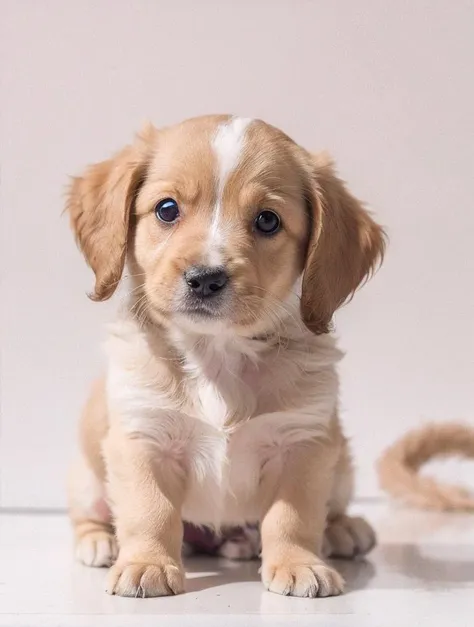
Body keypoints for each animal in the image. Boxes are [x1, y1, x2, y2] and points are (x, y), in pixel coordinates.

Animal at [65, 115, 386, 600]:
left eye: (268, 220)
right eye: (166, 209)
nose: (205, 278)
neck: (216, 355)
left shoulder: (305, 444)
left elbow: (292, 517)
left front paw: (298, 563)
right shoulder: (142, 437)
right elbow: (150, 510)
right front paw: (146, 564)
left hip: (342, 463)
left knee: (327, 510)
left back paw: (340, 529)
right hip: (87, 475)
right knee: (87, 514)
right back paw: (100, 542)